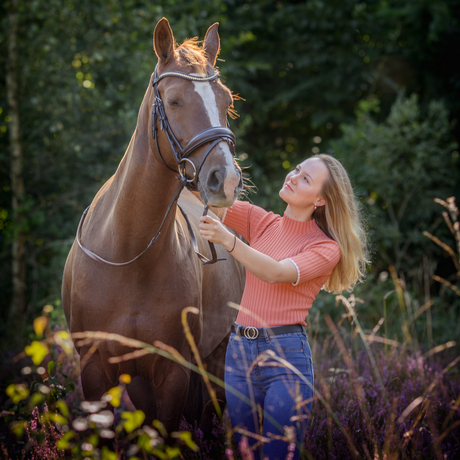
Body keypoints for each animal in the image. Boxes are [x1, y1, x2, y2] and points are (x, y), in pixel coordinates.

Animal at [63, 18, 248, 434]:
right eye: (175, 101)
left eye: (226, 102)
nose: (225, 181)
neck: (130, 252)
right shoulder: (95, 370)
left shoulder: (173, 372)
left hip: (215, 361)